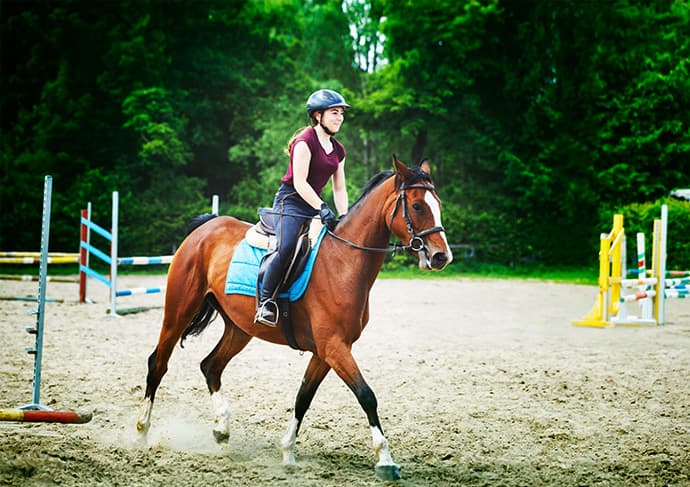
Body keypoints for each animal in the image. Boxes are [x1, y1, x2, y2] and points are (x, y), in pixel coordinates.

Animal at [136, 156, 453, 481]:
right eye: (417, 206)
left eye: (437, 203)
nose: (441, 256)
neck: (344, 261)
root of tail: (206, 227)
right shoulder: (334, 347)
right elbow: (366, 395)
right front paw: (386, 460)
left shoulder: (325, 352)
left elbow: (304, 396)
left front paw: (287, 452)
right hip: (178, 312)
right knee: (158, 363)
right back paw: (142, 433)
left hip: (239, 328)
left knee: (210, 366)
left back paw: (222, 429)